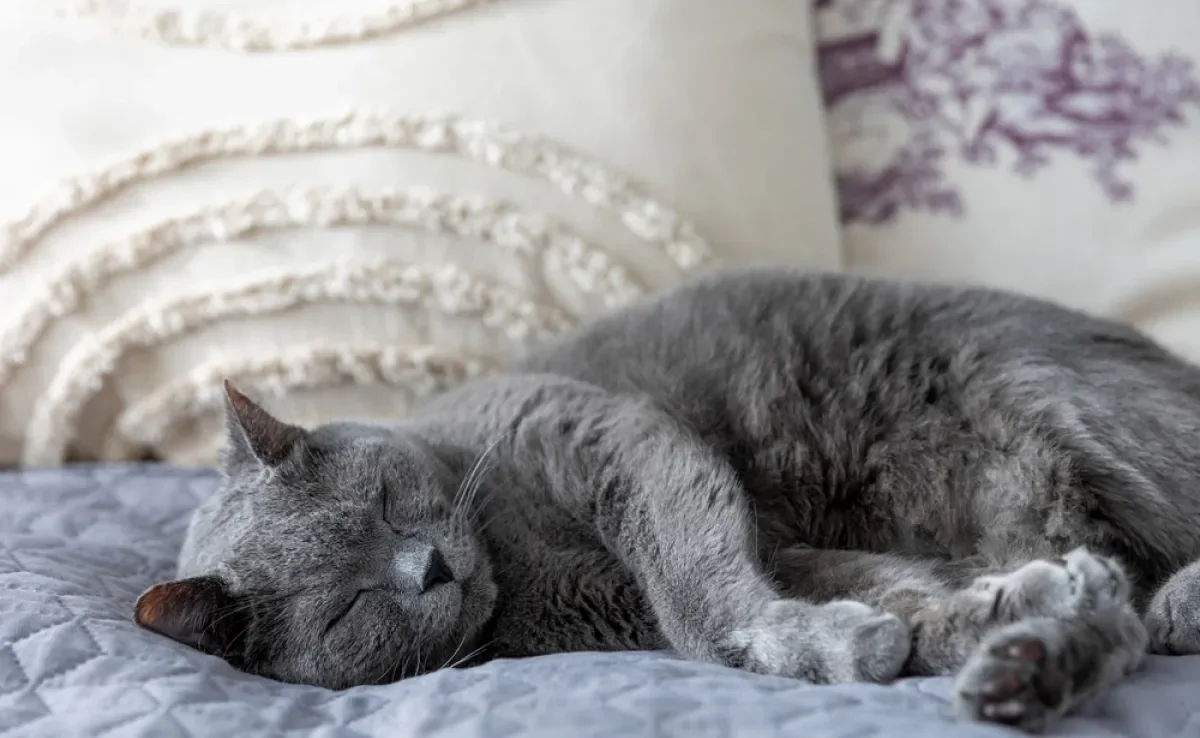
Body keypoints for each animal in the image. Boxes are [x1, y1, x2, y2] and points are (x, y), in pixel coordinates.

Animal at [131, 267, 1200, 734]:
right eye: (349, 607)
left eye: (392, 501)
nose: (428, 564)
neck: (512, 562)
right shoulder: (763, 557)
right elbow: (888, 591)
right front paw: (946, 621)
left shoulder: (609, 436)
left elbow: (693, 584)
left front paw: (806, 641)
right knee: (1117, 606)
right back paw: (1035, 657)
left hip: (1048, 405)